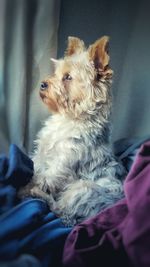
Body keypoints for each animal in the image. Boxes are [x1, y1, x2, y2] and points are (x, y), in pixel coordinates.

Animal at [21, 35, 126, 227]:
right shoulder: (41, 154)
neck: (70, 118)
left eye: (68, 77)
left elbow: (41, 179)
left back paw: (39, 196)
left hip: (83, 189)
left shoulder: (60, 166)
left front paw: (26, 189)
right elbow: (35, 169)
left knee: (62, 213)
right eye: (56, 73)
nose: (42, 84)